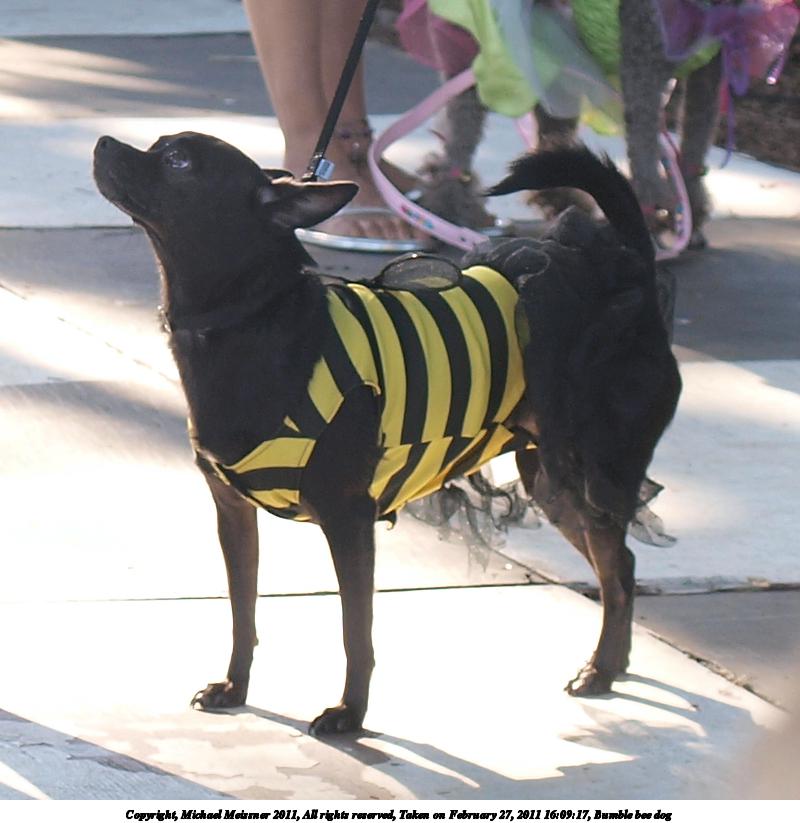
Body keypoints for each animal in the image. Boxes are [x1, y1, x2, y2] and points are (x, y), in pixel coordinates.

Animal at [93, 132, 681, 735]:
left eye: (178, 161)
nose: (105, 141)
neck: (253, 319)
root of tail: (632, 270)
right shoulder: (234, 514)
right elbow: (243, 609)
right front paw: (236, 687)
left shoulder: (349, 522)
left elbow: (356, 630)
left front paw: (350, 714)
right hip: (553, 485)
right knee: (620, 567)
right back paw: (613, 664)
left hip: (588, 472)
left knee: (616, 566)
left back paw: (603, 669)